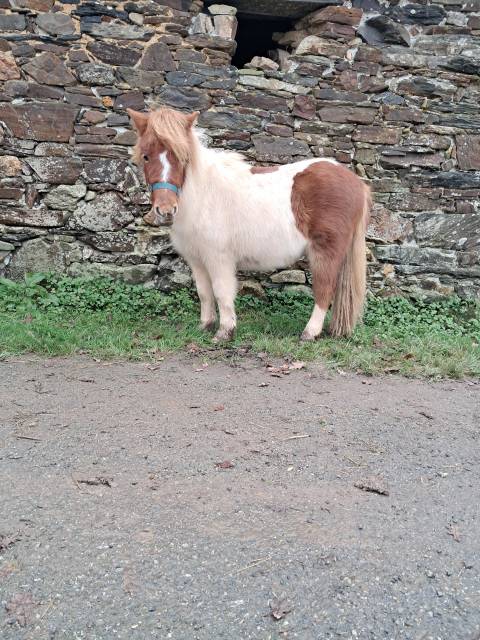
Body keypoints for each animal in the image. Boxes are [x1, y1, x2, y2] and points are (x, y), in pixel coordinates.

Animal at [127, 106, 371, 343]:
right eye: (146, 156)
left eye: (182, 157)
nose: (166, 209)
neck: (205, 195)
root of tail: (356, 182)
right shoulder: (197, 259)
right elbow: (204, 292)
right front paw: (205, 326)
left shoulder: (219, 258)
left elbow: (221, 292)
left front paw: (225, 332)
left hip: (325, 252)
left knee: (324, 290)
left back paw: (309, 333)